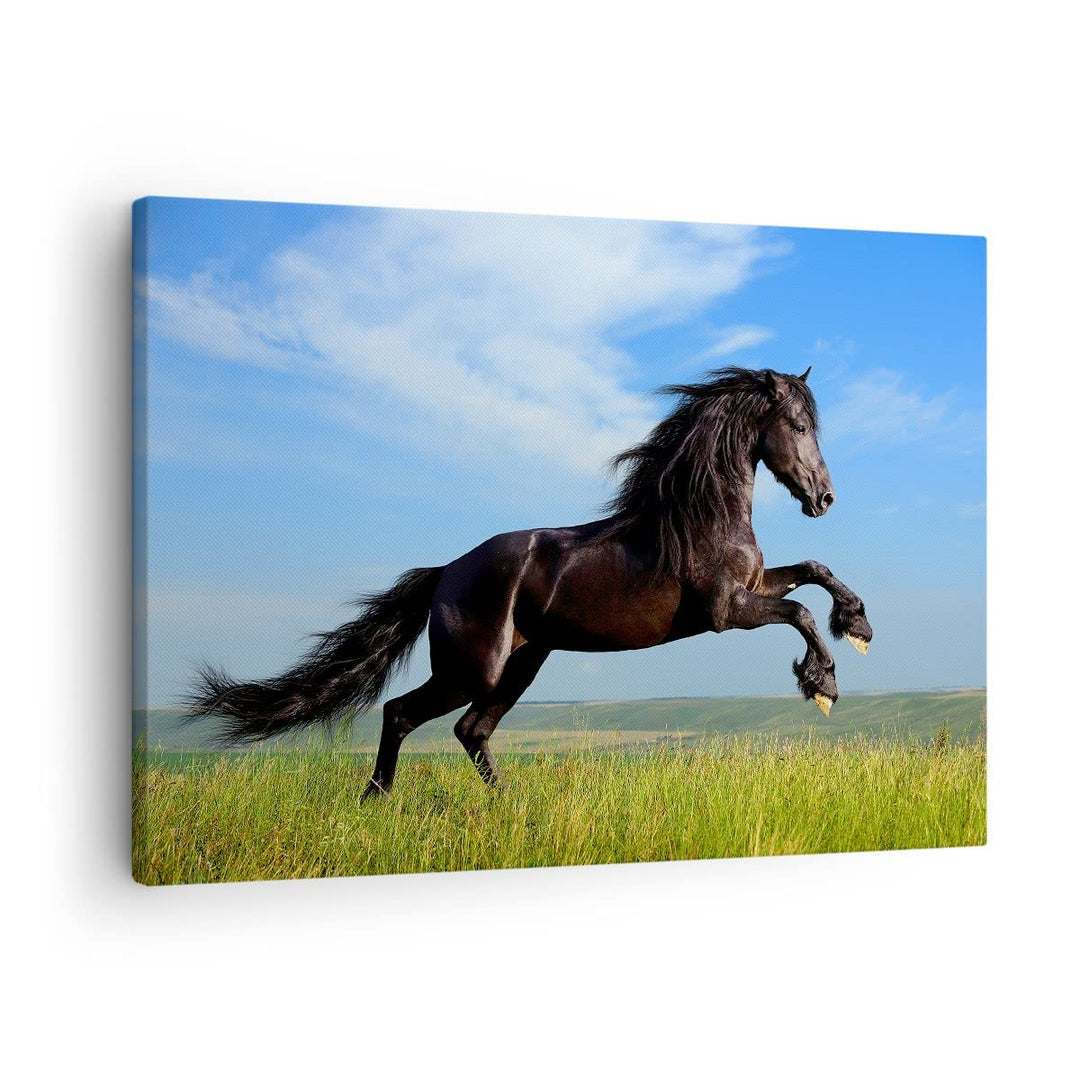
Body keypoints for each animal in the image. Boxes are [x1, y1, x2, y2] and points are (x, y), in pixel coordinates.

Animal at [188, 365, 873, 798]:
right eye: (800, 427)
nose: (825, 498)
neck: (701, 516)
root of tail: (446, 573)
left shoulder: (757, 584)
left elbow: (814, 572)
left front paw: (858, 624)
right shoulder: (726, 612)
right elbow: (800, 613)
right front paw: (823, 684)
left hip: (521, 663)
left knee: (471, 731)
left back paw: (506, 804)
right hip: (473, 669)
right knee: (402, 713)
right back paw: (375, 800)